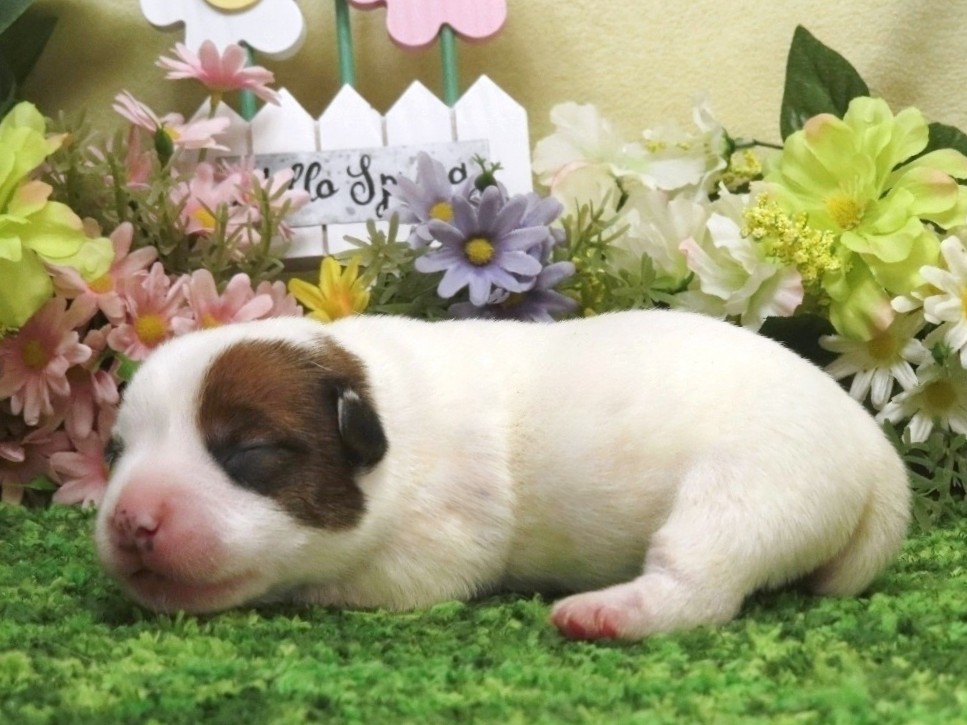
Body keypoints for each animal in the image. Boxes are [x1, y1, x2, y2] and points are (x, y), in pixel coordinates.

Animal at [95, 310, 910, 640]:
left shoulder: (427, 559)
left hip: (750, 485)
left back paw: (608, 613)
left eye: (247, 452)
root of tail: (873, 449)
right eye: (113, 452)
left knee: (699, 585)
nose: (131, 520)